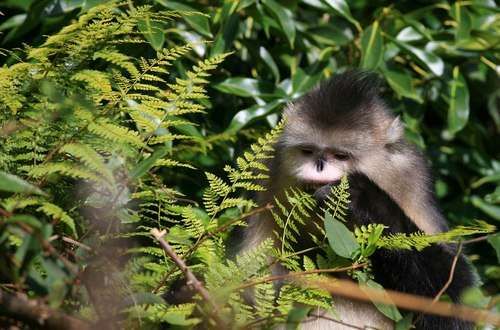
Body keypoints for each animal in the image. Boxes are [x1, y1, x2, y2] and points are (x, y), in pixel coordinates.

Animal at [240, 71, 474, 330]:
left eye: (341, 155)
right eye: (308, 151)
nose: (319, 165)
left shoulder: (412, 179)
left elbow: (457, 303)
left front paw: (368, 203)